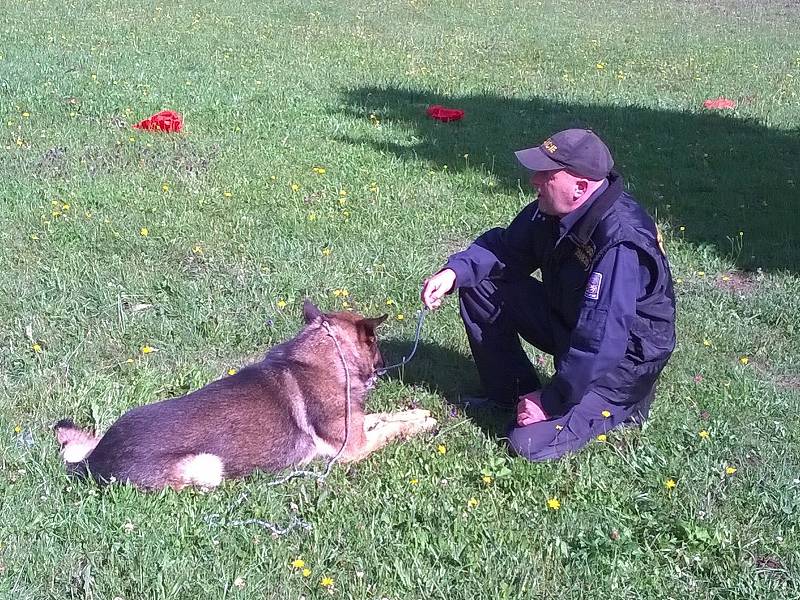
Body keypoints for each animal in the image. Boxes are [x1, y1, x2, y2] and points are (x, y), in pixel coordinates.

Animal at [54, 302, 438, 490]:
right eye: (376, 346)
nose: (385, 365)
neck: (329, 352)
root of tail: (93, 461)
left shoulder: (356, 426)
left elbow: (385, 416)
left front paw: (416, 413)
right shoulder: (353, 448)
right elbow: (390, 429)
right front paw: (419, 423)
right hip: (207, 465)